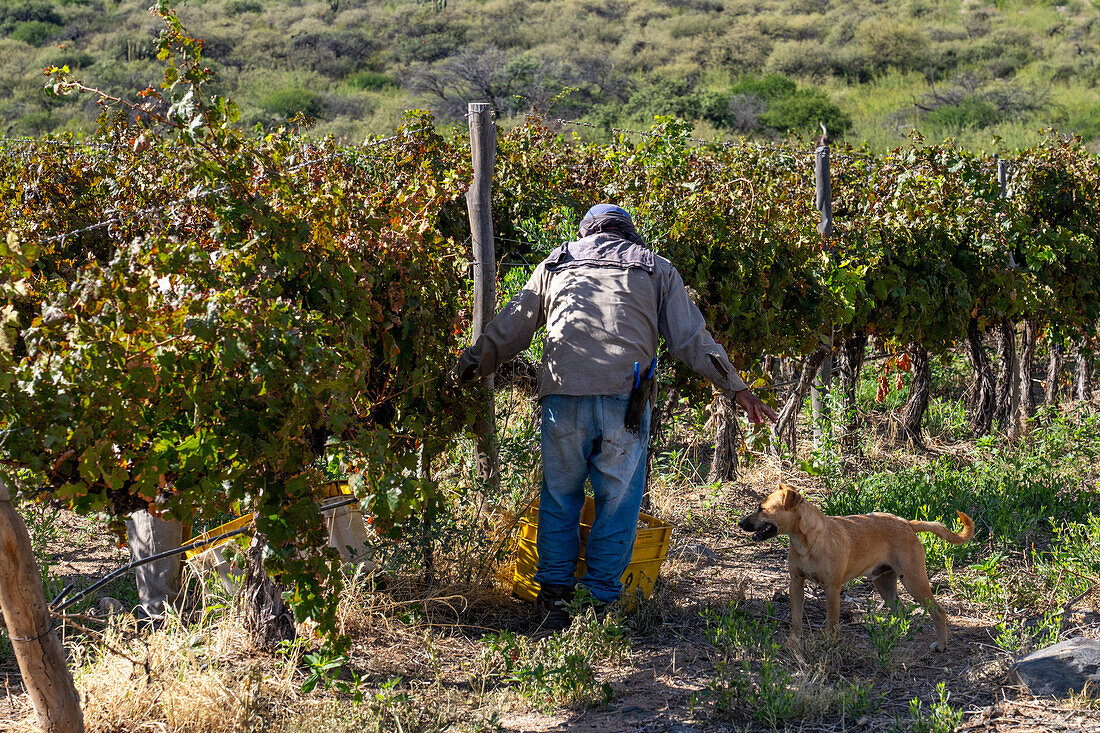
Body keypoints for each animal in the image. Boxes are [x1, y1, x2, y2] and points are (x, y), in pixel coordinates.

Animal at [739, 482, 972, 647]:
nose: (740, 523)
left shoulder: (832, 589)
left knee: (939, 611)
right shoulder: (796, 582)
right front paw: (794, 643)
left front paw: (829, 644)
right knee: (901, 611)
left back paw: (940, 645)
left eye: (761, 508)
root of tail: (907, 523)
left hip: (914, 581)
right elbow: (796, 619)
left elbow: (832, 621)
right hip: (884, 583)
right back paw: (895, 635)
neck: (806, 541)